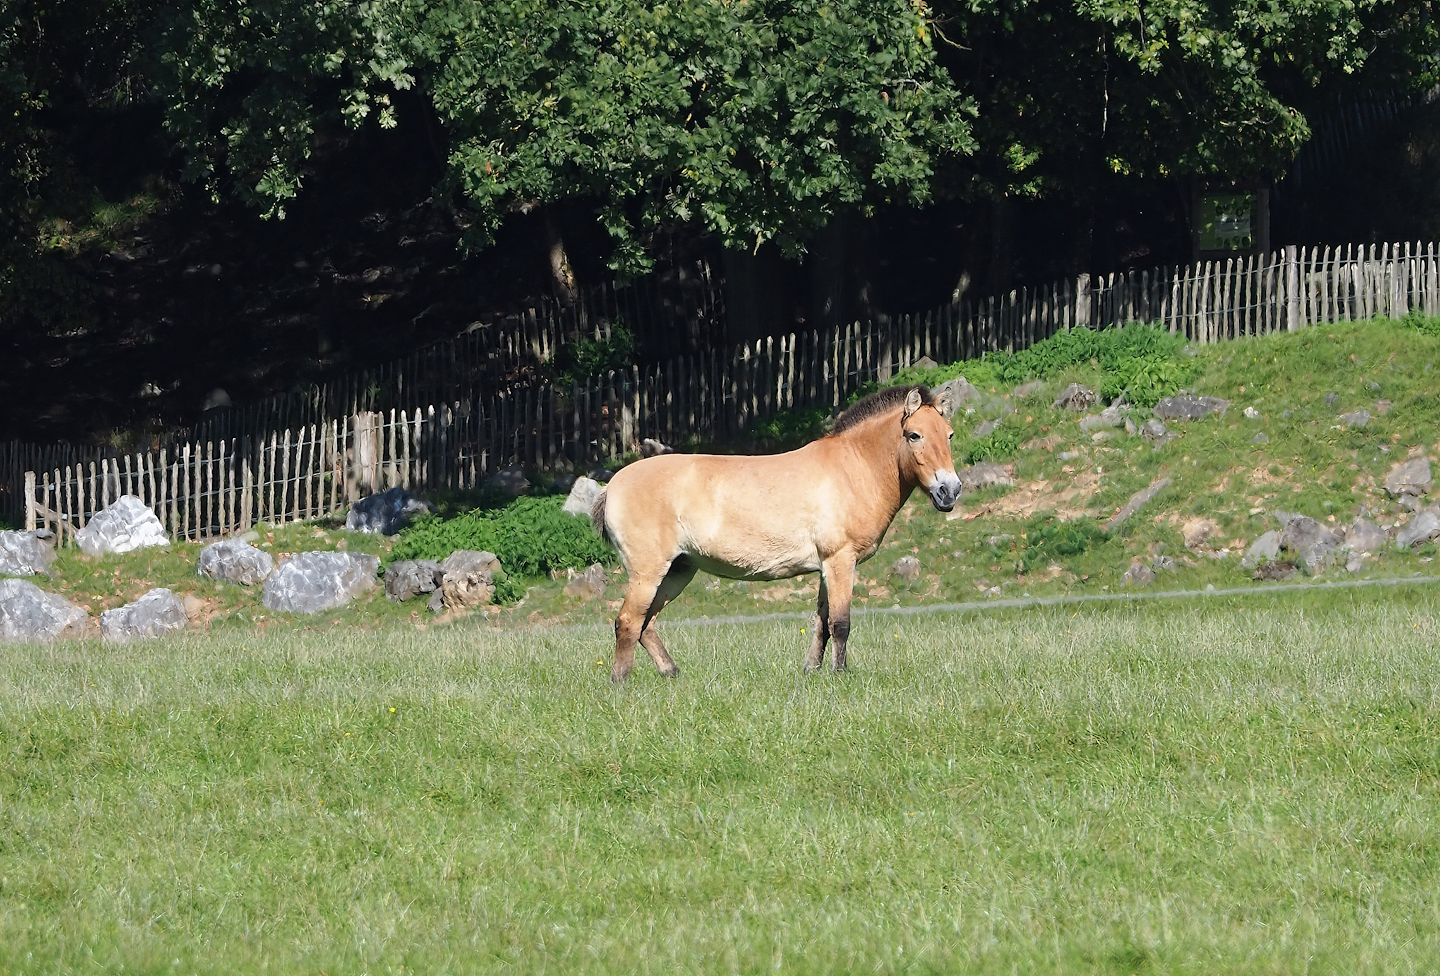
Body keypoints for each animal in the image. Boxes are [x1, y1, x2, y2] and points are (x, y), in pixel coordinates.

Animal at [589, 385, 961, 682]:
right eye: (914, 435)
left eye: (949, 435)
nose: (950, 491)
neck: (853, 468)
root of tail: (611, 487)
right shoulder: (841, 561)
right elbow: (840, 623)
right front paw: (840, 674)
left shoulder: (826, 567)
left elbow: (821, 622)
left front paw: (812, 670)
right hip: (648, 571)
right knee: (627, 622)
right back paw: (620, 681)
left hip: (678, 570)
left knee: (646, 623)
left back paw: (671, 673)